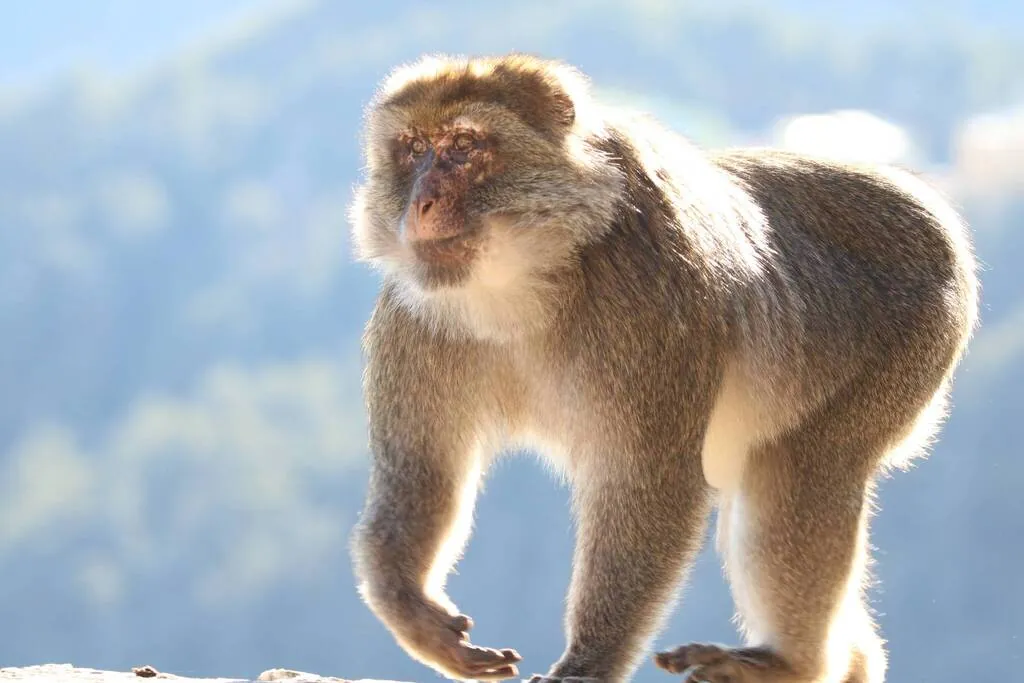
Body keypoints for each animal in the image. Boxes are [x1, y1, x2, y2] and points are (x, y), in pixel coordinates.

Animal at [347, 53, 978, 683]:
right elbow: (423, 471)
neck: (528, 279)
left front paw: (589, 662)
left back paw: (792, 664)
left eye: (463, 145)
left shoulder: (650, 304)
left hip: (914, 337)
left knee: (802, 466)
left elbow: (650, 485)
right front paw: (416, 614)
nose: (420, 204)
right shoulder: (414, 319)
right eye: (411, 148)